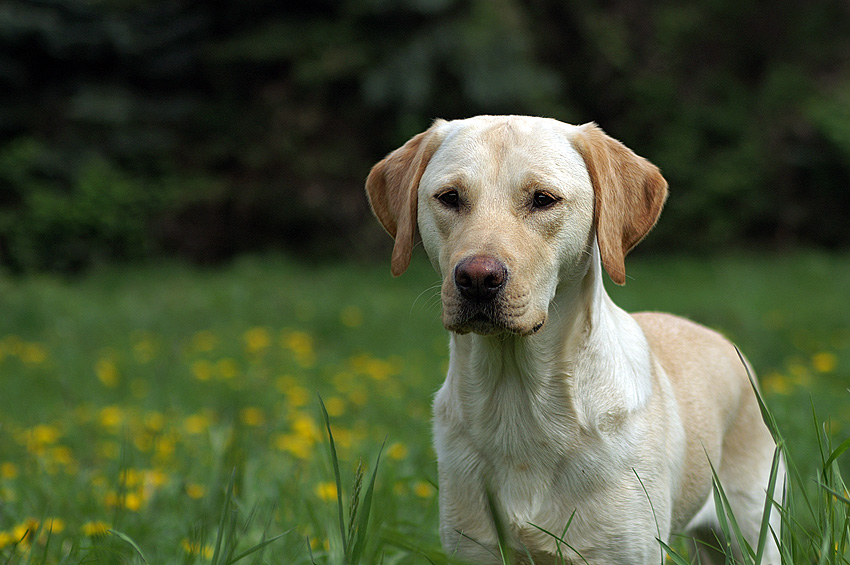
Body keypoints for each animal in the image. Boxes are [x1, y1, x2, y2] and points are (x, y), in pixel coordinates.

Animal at [364, 115, 776, 564]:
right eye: (450, 197)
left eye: (543, 199)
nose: (477, 278)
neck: (517, 399)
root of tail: (719, 338)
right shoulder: (473, 547)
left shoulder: (623, 551)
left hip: (754, 528)